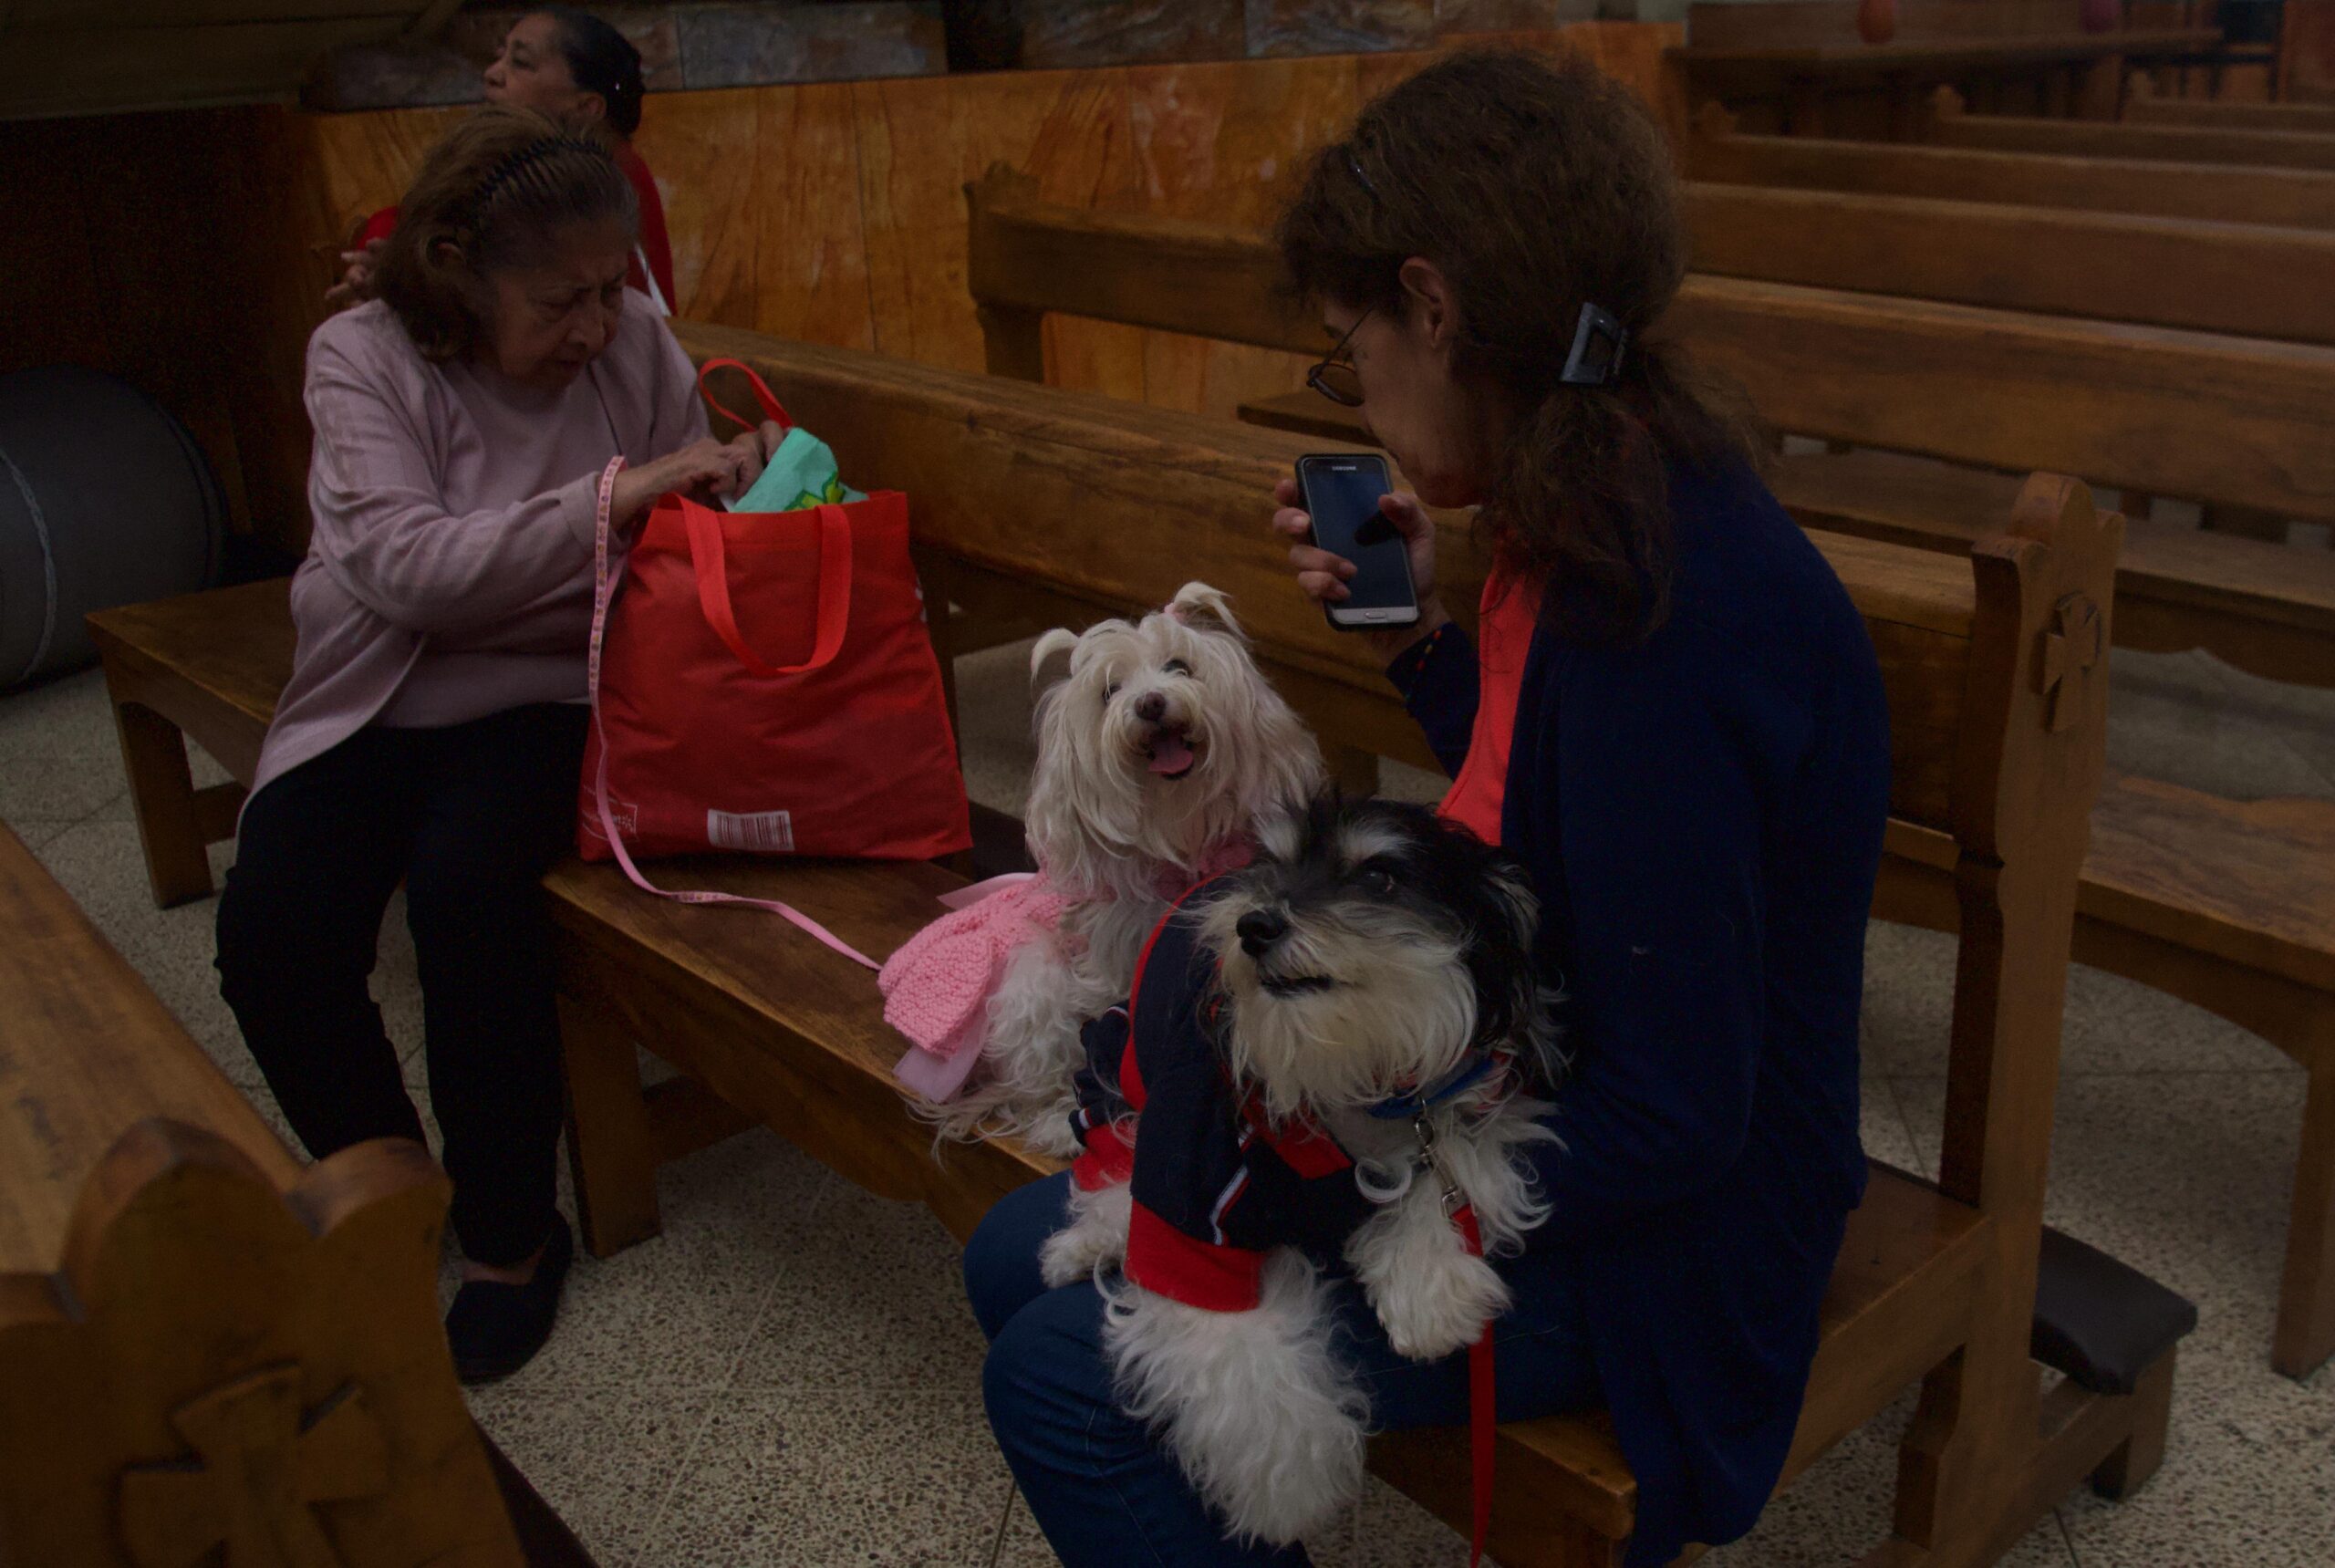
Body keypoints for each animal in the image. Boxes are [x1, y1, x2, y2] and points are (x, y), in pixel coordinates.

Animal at [915, 587, 1326, 1154]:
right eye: (1109, 692)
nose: (1150, 703)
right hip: (1032, 979)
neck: (1181, 840)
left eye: (1180, 667)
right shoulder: (1113, 965)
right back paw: (1057, 1119)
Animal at [1045, 799, 1560, 1542]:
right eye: (1275, 865)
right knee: (1112, 1146)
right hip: (1124, 1046)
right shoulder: (1190, 1202)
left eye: (1379, 875)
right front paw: (1287, 1498)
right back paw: (1090, 1237)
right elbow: (1237, 1368)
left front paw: (1431, 1292)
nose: (1253, 925)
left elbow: (1453, 1162)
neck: (1344, 1066)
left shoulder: (1477, 1103)